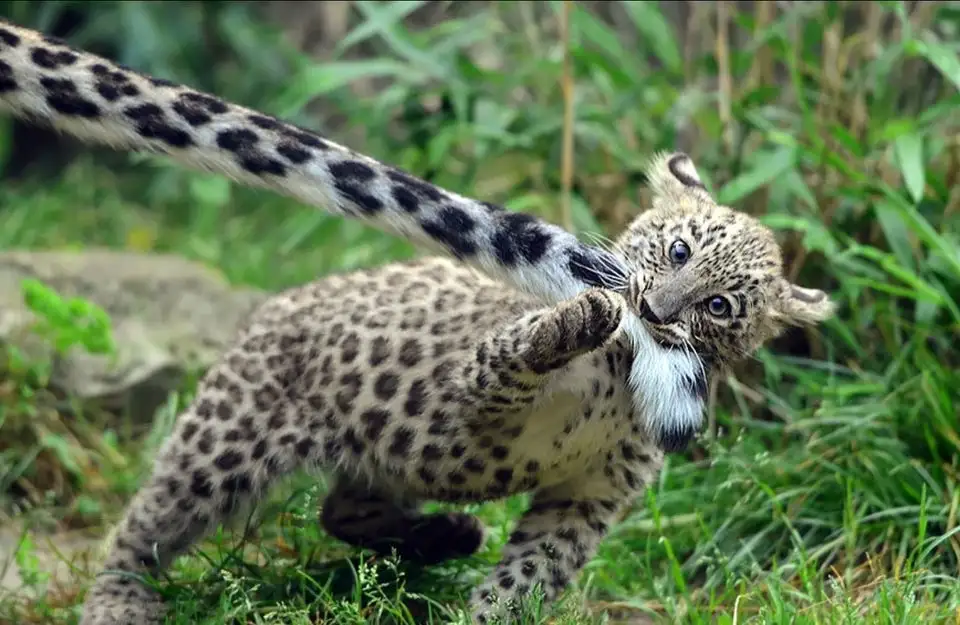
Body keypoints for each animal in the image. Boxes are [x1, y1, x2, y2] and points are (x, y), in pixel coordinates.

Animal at [0, 20, 836, 625]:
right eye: (678, 249)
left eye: (720, 305)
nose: (658, 310)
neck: (622, 386)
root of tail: (271, 304)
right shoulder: (471, 394)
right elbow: (519, 349)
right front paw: (581, 317)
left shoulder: (587, 495)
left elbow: (529, 572)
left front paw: (486, 613)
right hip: (227, 438)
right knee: (151, 518)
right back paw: (120, 596)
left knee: (342, 506)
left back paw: (445, 534)